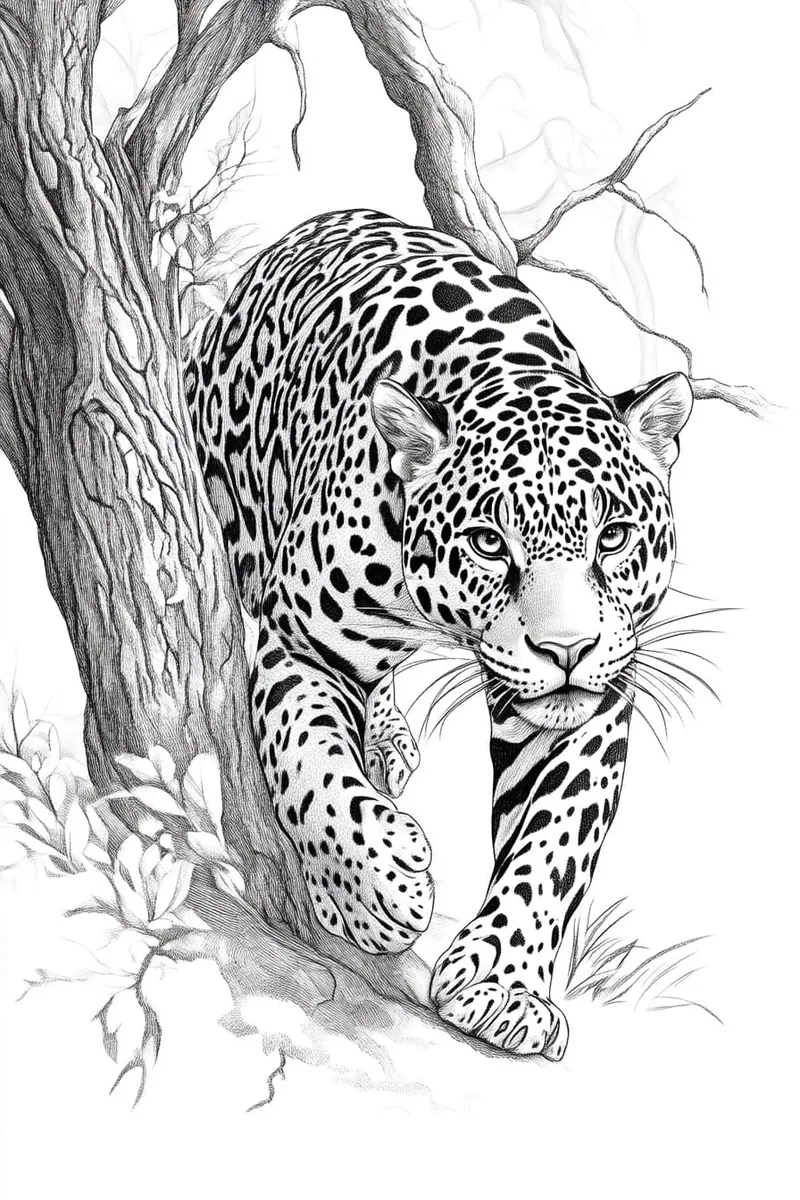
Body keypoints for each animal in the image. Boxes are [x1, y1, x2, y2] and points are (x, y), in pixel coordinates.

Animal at [184, 208, 694, 1060]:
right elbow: (310, 762)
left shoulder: (590, 705)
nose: (566, 651)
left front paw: (504, 987)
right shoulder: (300, 641)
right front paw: (377, 888)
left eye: (615, 536)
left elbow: (554, 840)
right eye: (489, 543)